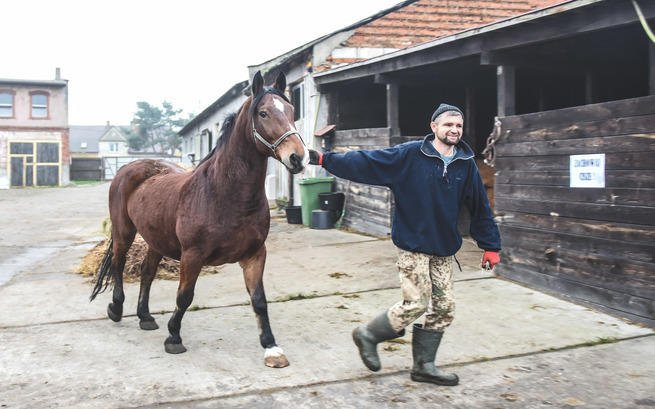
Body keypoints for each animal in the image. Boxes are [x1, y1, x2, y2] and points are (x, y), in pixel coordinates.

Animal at [89, 71, 308, 366]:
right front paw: (174, 338)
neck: (224, 193)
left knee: (147, 272)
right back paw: (116, 308)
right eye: (263, 113)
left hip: (156, 240)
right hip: (124, 232)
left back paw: (145, 316)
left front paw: (272, 347)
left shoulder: (255, 255)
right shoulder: (192, 255)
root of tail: (129, 167)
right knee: (118, 264)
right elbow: (184, 296)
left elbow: (259, 300)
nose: (298, 157)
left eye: (291, 110)